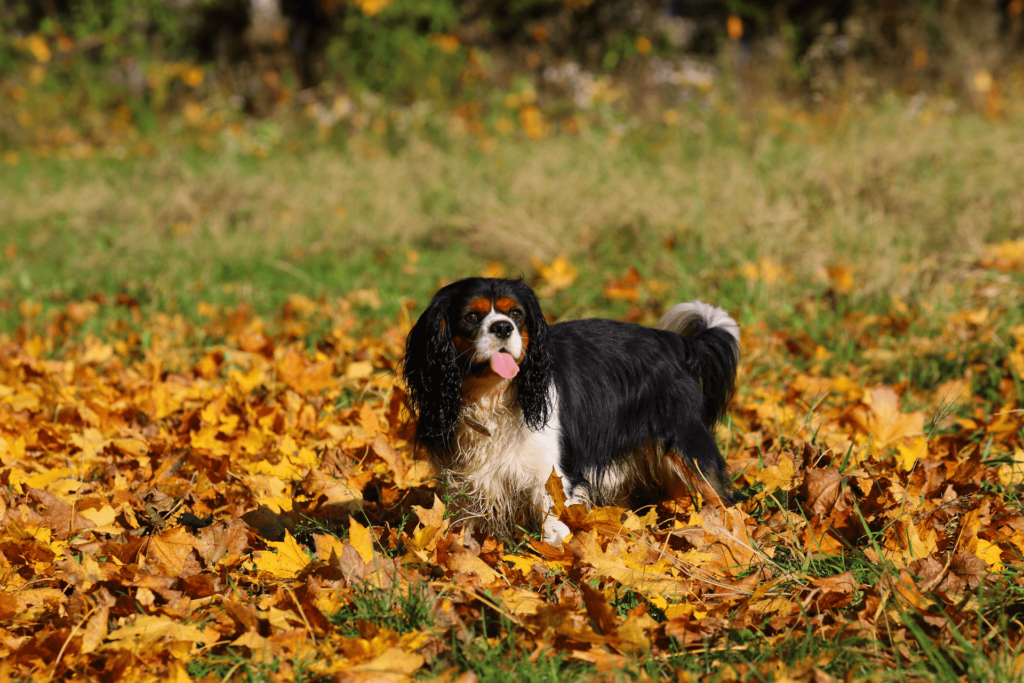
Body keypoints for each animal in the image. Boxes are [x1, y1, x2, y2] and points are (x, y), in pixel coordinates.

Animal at [401, 278, 745, 544]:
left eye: (516, 314)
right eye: (471, 316)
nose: (503, 327)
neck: (492, 396)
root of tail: (673, 342)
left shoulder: (549, 477)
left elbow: (555, 530)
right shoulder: (468, 481)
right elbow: (465, 527)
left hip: (689, 445)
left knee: (723, 498)